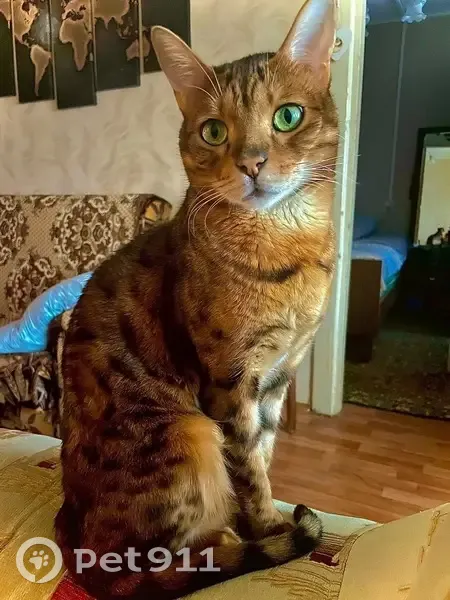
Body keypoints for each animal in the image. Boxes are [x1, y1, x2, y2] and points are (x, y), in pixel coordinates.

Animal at [55, 1, 339, 598]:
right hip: (185, 432)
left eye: (288, 117)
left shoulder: (277, 376)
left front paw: (270, 517)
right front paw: (271, 528)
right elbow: (248, 469)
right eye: (213, 130)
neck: (286, 247)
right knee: (166, 559)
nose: (252, 162)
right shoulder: (228, 384)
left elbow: (265, 452)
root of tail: (76, 542)